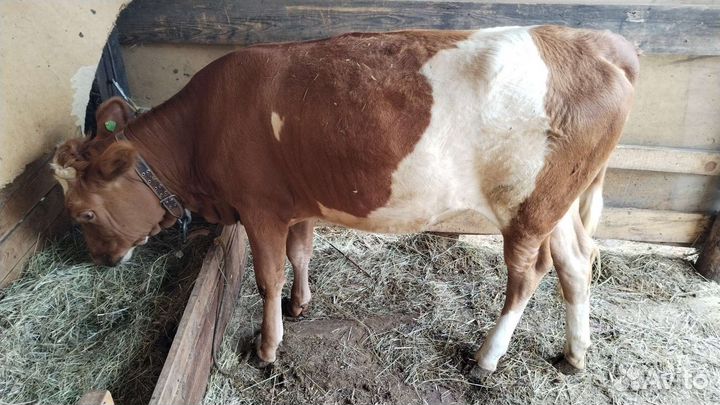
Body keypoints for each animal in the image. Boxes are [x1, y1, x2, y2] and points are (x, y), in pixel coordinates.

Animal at [51, 25, 638, 377]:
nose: (100, 259)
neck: (203, 128)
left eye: (83, 212)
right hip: (560, 204)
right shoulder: (297, 203)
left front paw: (267, 346)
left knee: (528, 275)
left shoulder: (259, 209)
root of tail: (590, 42)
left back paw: (486, 357)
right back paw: (575, 353)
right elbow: (300, 254)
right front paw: (301, 304)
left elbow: (267, 277)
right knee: (576, 261)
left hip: (529, 208)